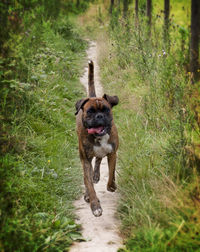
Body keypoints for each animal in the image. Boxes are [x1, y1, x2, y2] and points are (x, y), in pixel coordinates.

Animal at [75, 60, 119, 217]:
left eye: (106, 110)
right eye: (90, 111)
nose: (99, 116)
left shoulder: (112, 153)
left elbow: (111, 173)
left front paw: (112, 186)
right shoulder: (85, 160)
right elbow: (89, 184)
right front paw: (95, 205)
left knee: (99, 160)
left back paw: (97, 175)